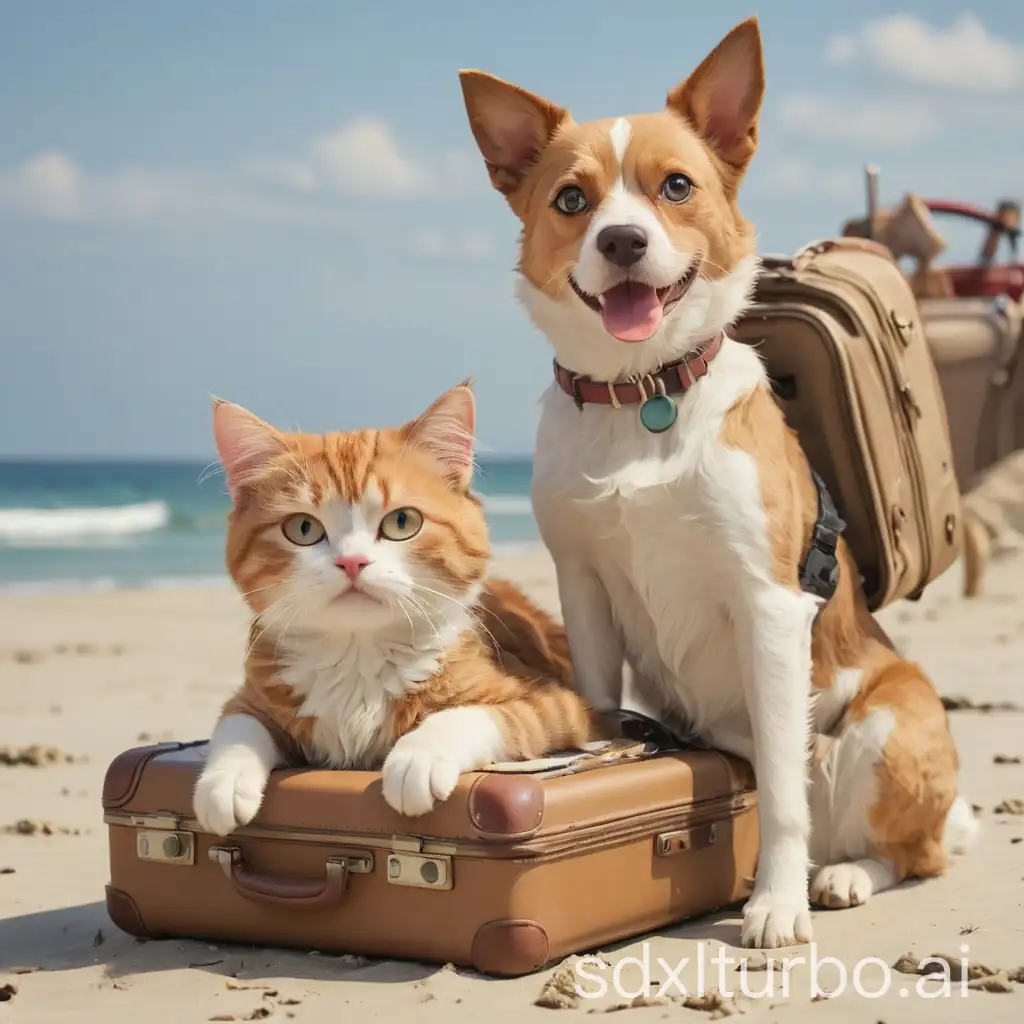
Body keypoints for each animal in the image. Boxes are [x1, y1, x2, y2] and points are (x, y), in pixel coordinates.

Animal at [192, 380, 598, 835]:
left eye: (402, 522)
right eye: (303, 528)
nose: (352, 562)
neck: (357, 658)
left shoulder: (553, 704)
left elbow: (475, 715)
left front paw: (418, 757)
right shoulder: (256, 694)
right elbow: (237, 726)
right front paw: (223, 782)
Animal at [462, 16, 974, 946]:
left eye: (675, 185)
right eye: (571, 201)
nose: (622, 241)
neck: (641, 395)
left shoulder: (769, 605)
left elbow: (777, 784)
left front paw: (774, 904)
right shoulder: (584, 591)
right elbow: (602, 697)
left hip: (887, 726)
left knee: (910, 851)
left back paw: (839, 875)